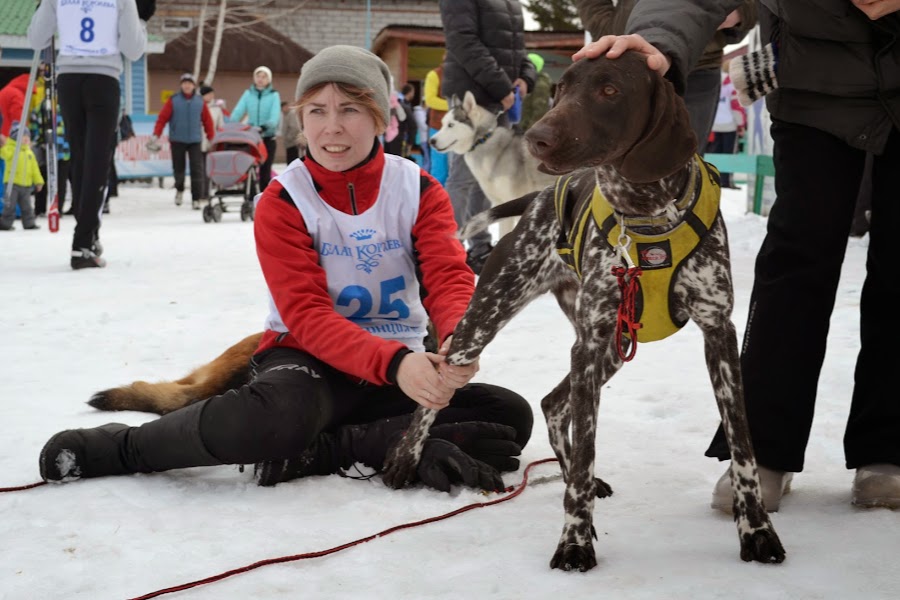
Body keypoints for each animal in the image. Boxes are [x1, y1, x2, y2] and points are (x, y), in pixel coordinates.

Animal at [428, 91, 556, 237]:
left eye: (451, 125)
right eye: (442, 123)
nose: (431, 141)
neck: (483, 140)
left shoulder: (509, 202)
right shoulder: (499, 203)